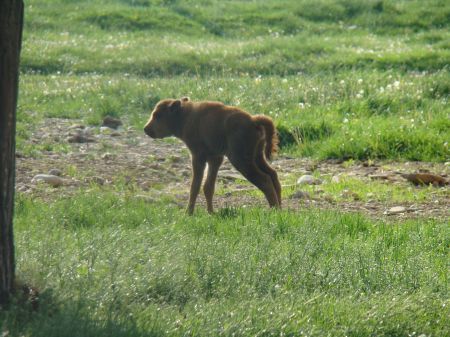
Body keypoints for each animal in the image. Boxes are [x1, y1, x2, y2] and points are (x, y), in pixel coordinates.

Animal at [144, 97, 282, 213]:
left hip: (241, 160)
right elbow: (208, 187)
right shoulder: (215, 158)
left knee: (264, 179)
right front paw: (210, 212)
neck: (185, 117)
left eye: (157, 115)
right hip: (257, 157)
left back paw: (274, 210)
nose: (146, 129)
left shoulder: (198, 157)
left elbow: (195, 186)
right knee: (273, 174)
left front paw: (188, 213)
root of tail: (253, 121)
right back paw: (280, 208)